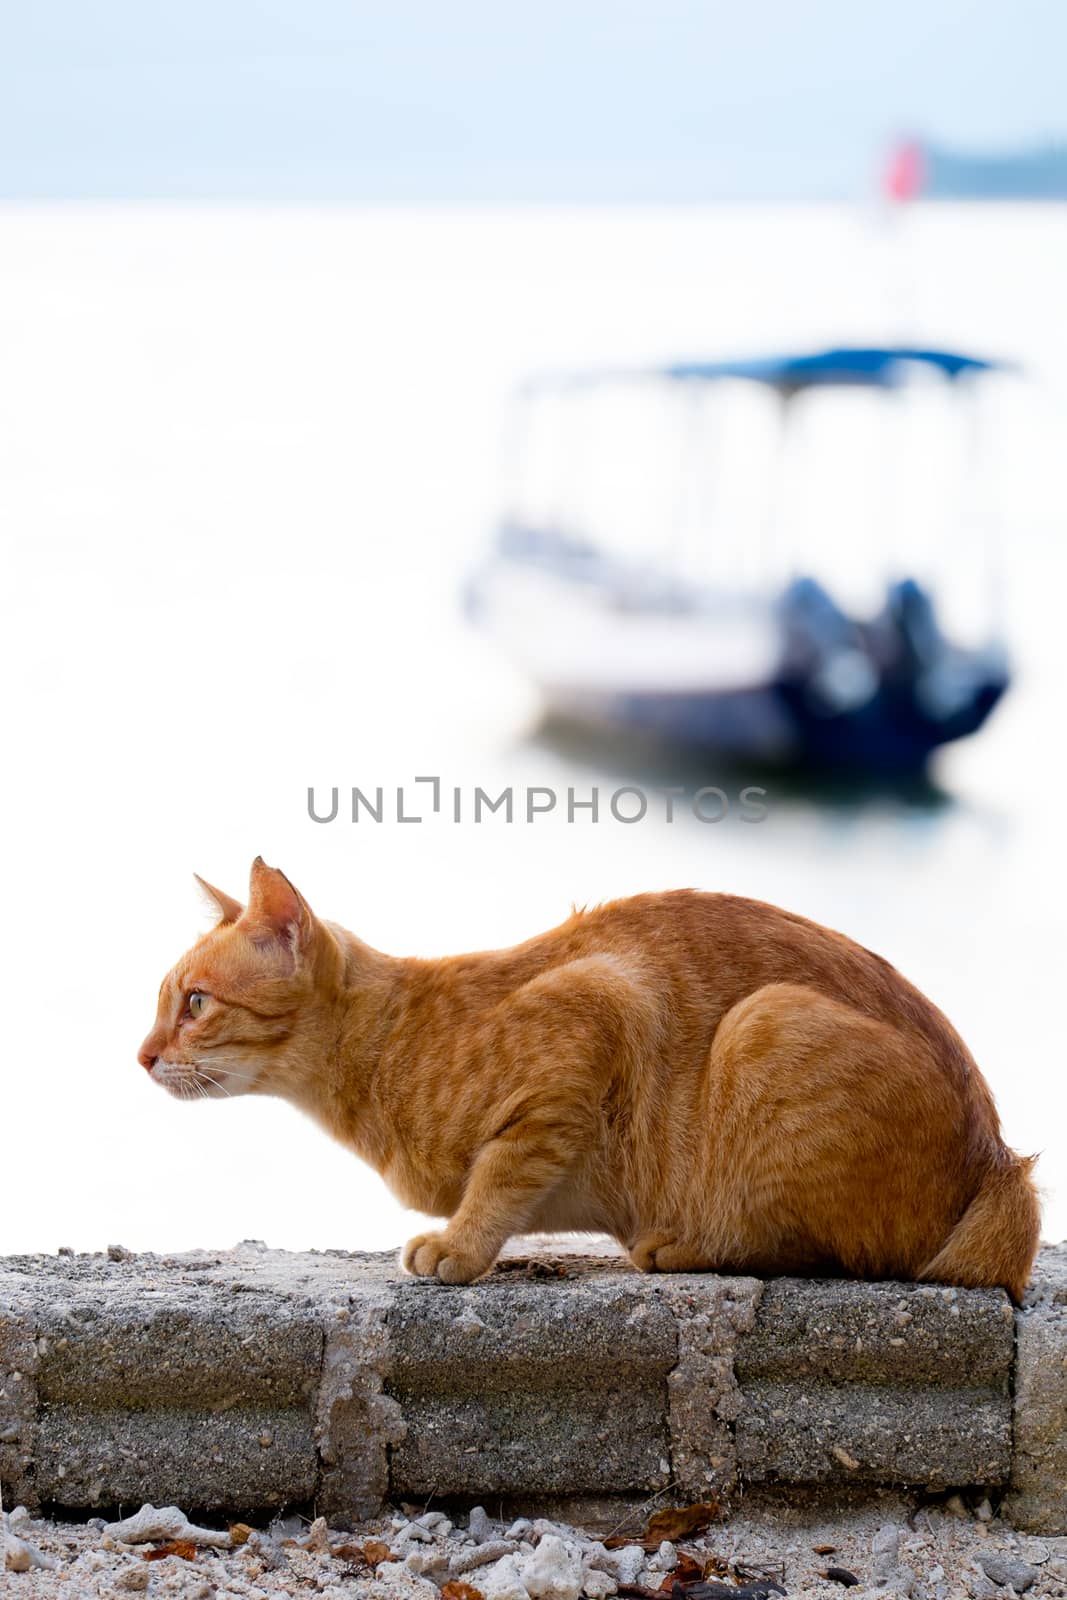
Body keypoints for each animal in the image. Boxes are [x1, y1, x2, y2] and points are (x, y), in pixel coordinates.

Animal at [137, 864, 1036, 1299]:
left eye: (194, 1003)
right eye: (161, 1003)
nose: (140, 1056)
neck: (389, 1045)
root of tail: (999, 1162)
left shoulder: (596, 1008)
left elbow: (502, 1171)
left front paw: (460, 1244)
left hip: (765, 1021)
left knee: (833, 1254)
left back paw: (685, 1244)